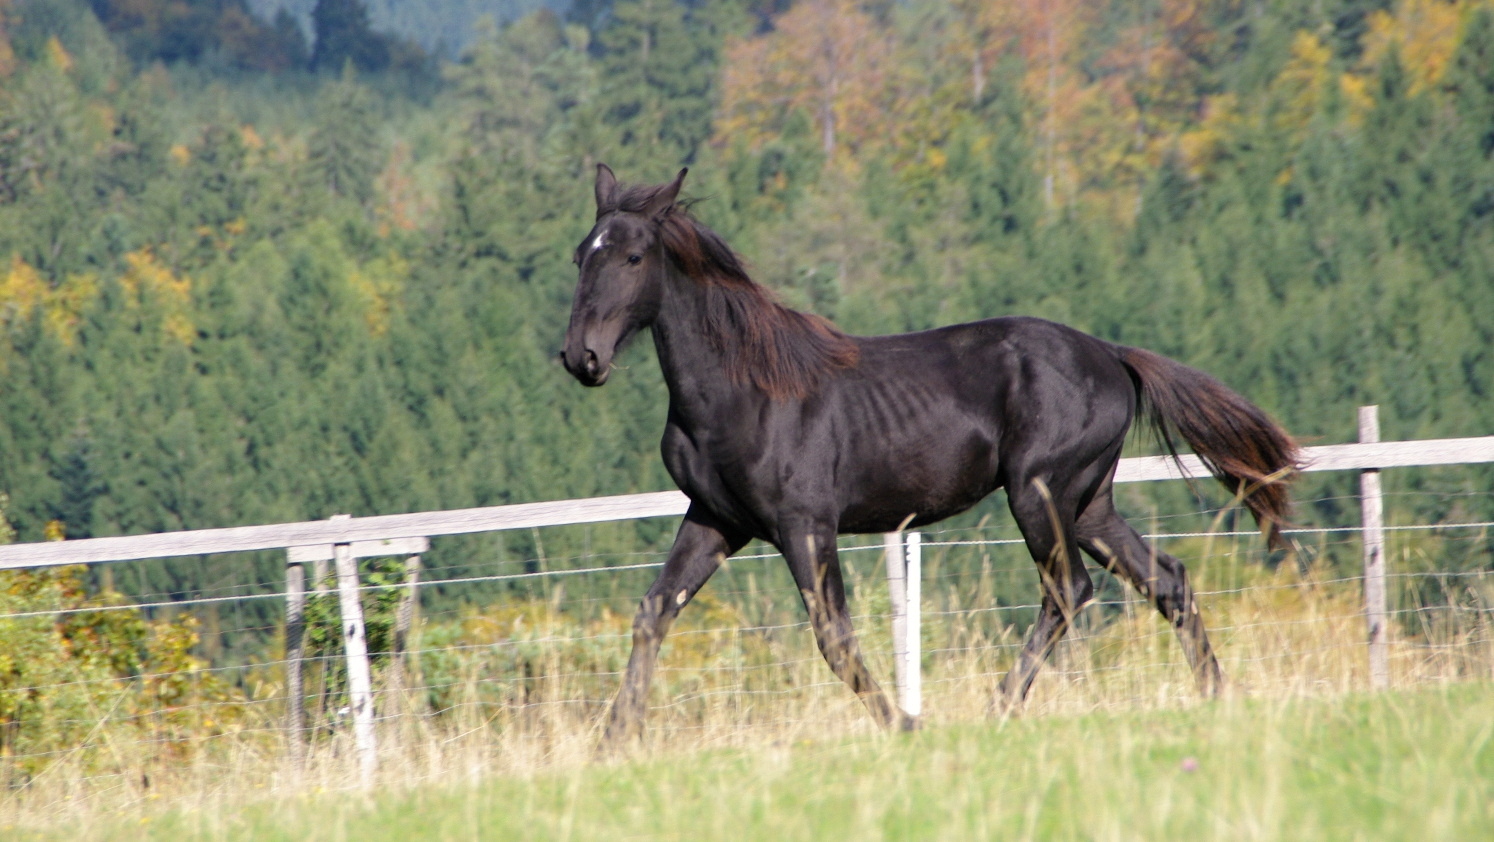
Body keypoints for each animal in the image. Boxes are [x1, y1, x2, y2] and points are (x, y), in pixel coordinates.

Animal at [561, 164, 1296, 743]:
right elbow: (653, 612)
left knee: (1068, 590)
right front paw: (612, 738)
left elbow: (834, 635)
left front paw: (906, 723)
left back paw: (999, 706)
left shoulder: (805, 524)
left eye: (632, 257)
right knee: (1166, 580)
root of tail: (1112, 357)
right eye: (580, 255)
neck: (743, 391)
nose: (581, 358)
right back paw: (1216, 695)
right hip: (1089, 503)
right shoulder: (716, 520)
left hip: (1039, 491)